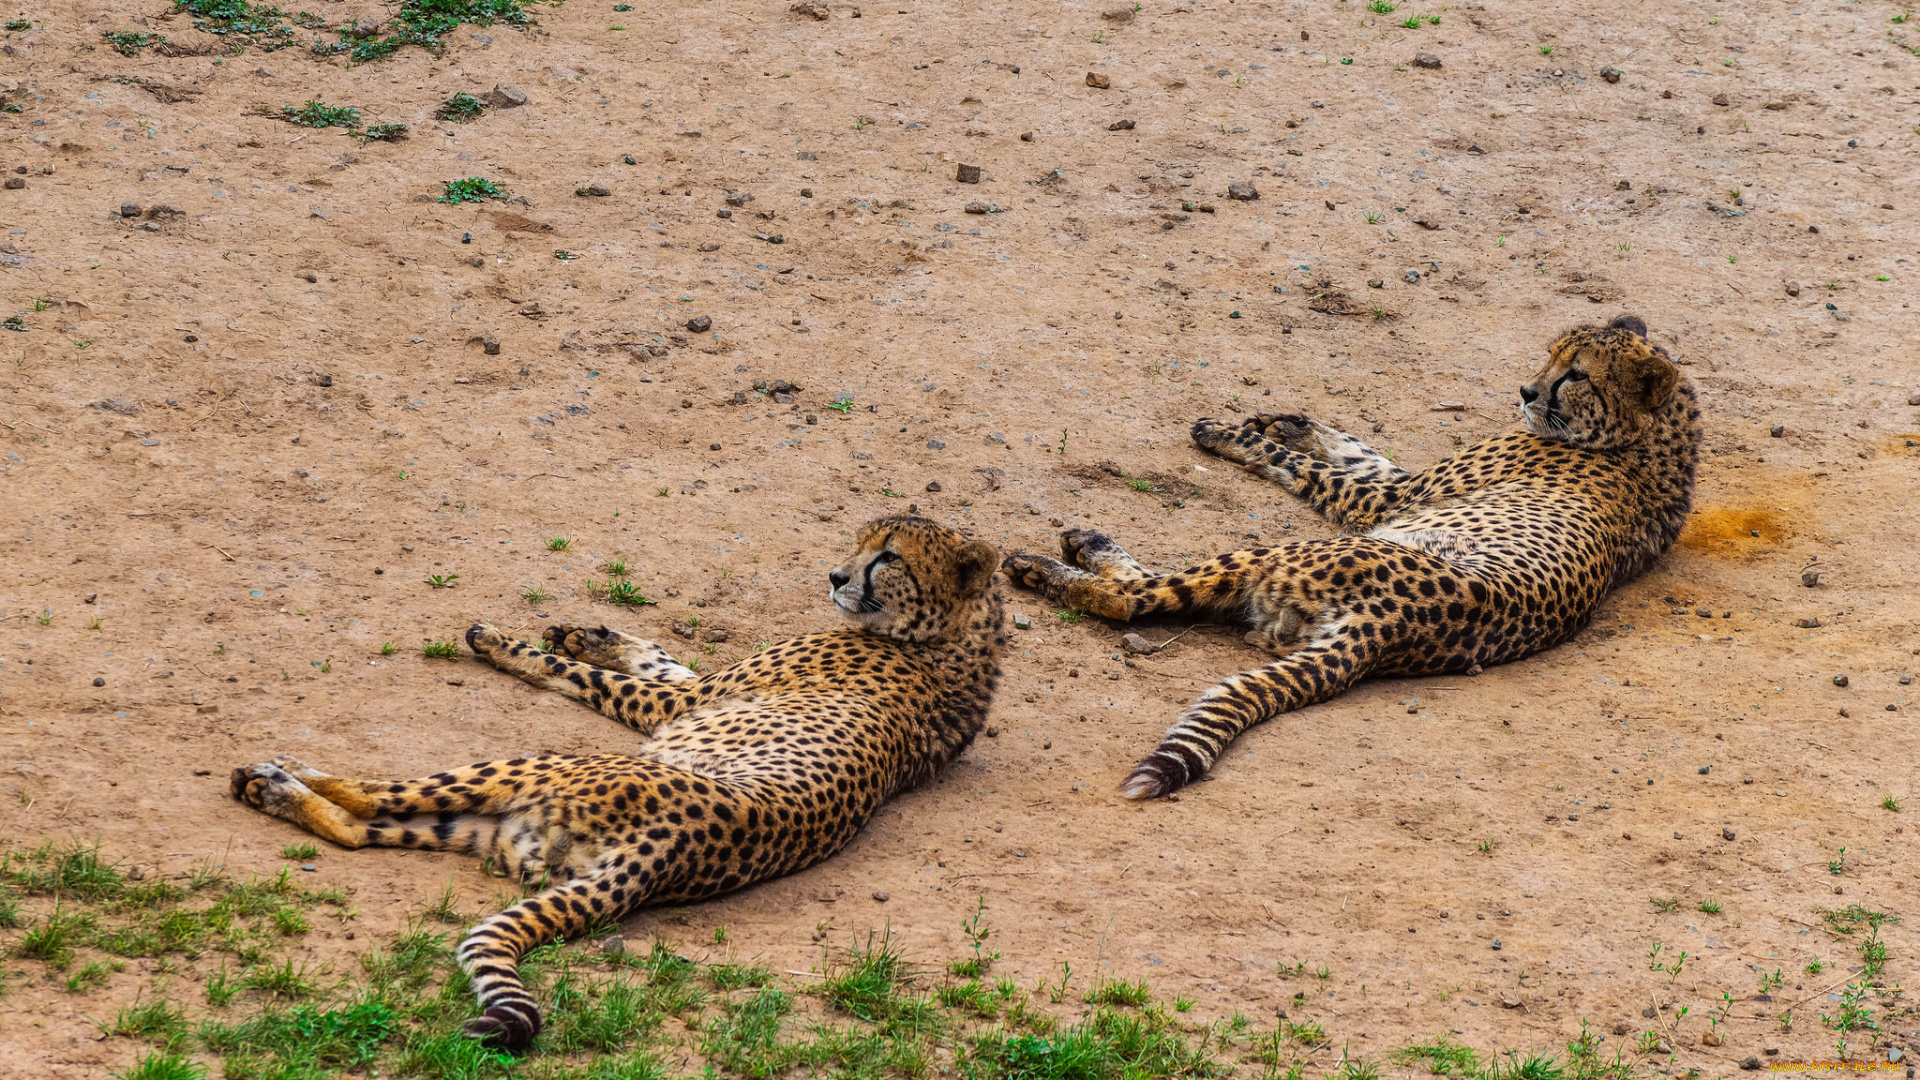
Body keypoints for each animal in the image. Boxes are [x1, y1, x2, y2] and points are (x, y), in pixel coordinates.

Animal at [226, 518, 1006, 1045]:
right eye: (861, 541)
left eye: (889, 556)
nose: (837, 578)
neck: (952, 638)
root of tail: (663, 858)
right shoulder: (694, 689)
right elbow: (658, 655)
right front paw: (592, 634)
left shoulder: (684, 704)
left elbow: (582, 675)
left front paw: (510, 644)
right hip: (495, 829)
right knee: (361, 832)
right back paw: (278, 788)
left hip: (538, 766)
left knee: (371, 799)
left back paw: (280, 775)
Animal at [1006, 315, 1697, 795]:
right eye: (1553, 355)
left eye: (1576, 372)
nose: (1527, 390)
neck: (1652, 438)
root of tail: (1385, 631)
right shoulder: (1397, 487)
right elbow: (1357, 449)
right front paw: (1290, 422)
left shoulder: (1386, 502)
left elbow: (1312, 468)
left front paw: (1229, 433)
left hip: (1289, 550)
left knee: (1133, 598)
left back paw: (1055, 560)